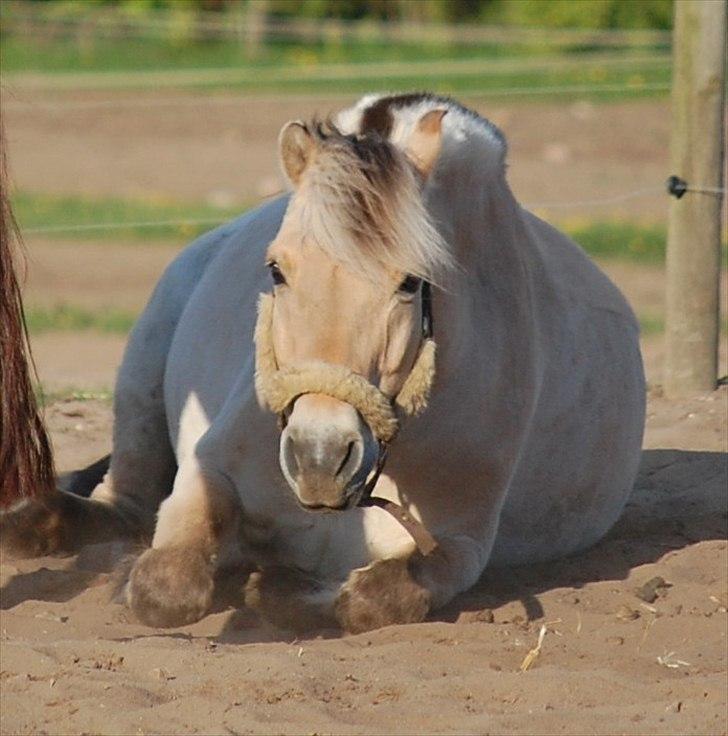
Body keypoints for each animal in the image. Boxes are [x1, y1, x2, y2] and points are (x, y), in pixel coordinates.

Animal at [1, 92, 648, 632]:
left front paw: (273, 586)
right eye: (276, 269)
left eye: (411, 283)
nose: (318, 458)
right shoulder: (206, 474)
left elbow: (371, 599)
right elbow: (166, 586)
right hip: (142, 370)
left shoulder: (460, 544)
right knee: (124, 501)